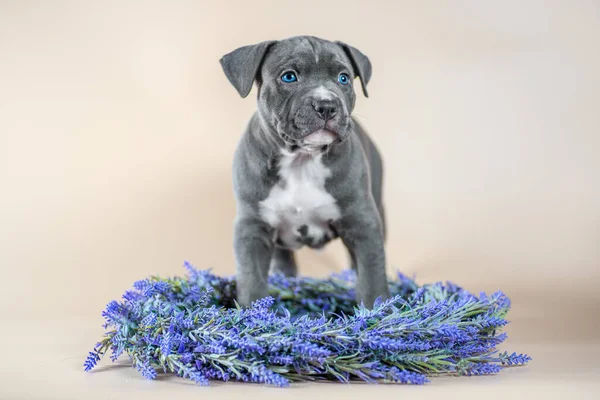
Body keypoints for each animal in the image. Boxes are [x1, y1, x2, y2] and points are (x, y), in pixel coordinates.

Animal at [220, 36, 390, 308]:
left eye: (343, 78)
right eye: (289, 77)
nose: (326, 105)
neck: (302, 160)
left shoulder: (363, 223)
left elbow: (371, 276)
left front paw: (378, 311)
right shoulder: (252, 229)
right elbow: (251, 279)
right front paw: (253, 312)